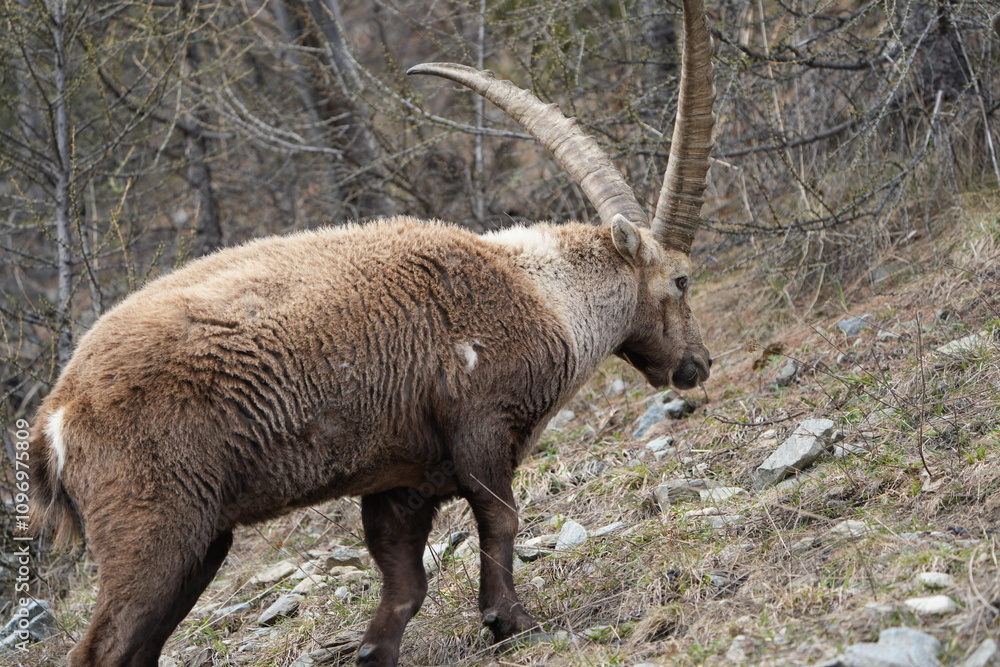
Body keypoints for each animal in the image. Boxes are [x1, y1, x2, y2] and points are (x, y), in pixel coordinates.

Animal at [28, 0, 715, 663]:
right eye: (681, 279)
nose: (698, 364)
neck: (544, 295)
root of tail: (56, 416)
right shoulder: (483, 431)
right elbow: (499, 519)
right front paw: (512, 622)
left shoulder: (403, 480)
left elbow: (404, 579)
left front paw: (375, 649)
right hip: (153, 531)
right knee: (102, 646)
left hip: (201, 542)